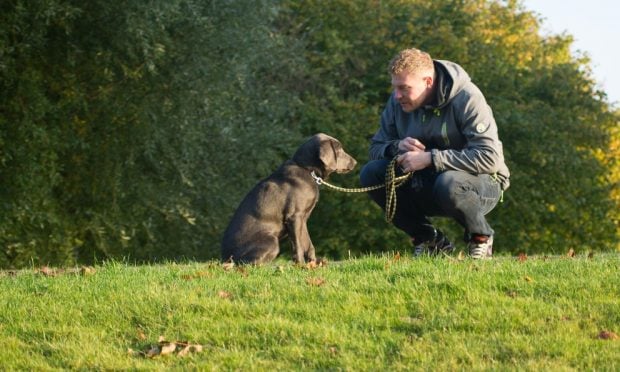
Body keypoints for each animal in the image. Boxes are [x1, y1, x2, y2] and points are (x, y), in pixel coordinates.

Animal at [223, 134, 358, 264]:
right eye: (339, 150)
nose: (355, 162)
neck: (307, 169)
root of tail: (224, 258)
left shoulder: (303, 219)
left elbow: (308, 244)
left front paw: (313, 264)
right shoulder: (294, 217)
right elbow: (298, 245)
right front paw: (300, 265)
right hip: (272, 241)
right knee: (247, 263)